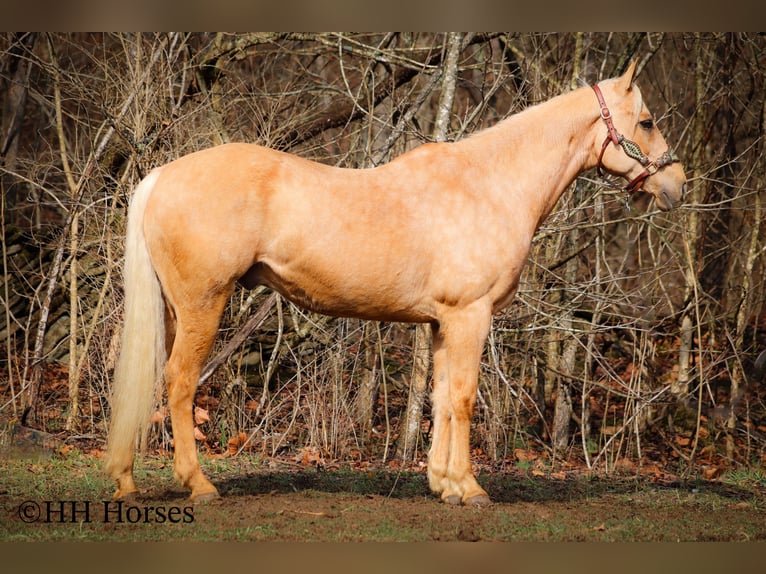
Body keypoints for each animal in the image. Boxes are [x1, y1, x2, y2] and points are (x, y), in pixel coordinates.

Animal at [105, 60, 686, 506]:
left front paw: (445, 484)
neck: (491, 183)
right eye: (647, 121)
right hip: (204, 303)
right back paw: (199, 485)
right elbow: (465, 397)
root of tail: (161, 176)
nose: (677, 185)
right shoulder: (470, 315)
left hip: (174, 308)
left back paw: (126, 480)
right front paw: (471, 489)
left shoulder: (443, 321)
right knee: (180, 382)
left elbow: (441, 396)